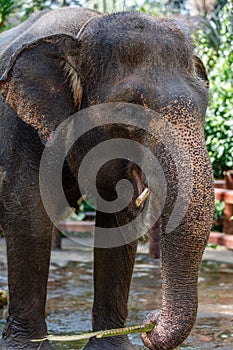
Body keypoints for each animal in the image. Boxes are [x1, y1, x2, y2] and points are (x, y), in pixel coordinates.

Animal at [0, 6, 215, 350]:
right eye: (129, 109)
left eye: (204, 103)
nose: (149, 323)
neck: (82, 29)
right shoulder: (17, 122)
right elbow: (28, 212)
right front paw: (27, 346)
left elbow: (119, 220)